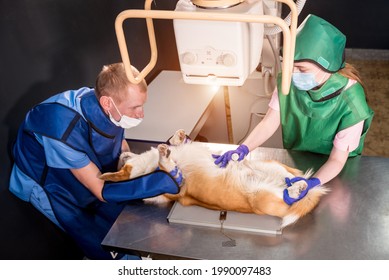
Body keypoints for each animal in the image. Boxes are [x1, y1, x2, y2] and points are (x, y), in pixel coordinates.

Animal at [98, 129, 326, 228]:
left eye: (124, 164)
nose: (121, 155)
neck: (147, 169)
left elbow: (177, 144)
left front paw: (177, 138)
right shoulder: (174, 182)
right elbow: (167, 167)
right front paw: (165, 156)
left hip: (267, 166)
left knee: (291, 178)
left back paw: (298, 183)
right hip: (261, 197)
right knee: (290, 195)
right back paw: (297, 190)